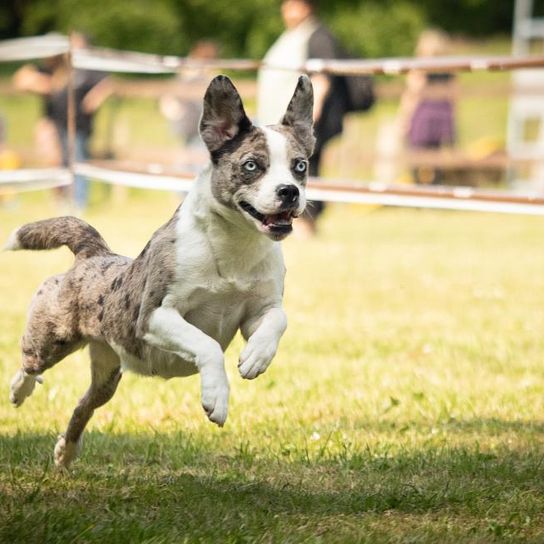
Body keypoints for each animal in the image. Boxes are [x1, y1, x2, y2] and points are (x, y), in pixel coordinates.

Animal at [6, 74, 314, 470]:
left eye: (300, 166)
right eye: (251, 165)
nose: (289, 191)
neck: (234, 245)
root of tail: (93, 253)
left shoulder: (257, 310)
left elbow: (278, 319)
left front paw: (255, 358)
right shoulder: (155, 316)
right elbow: (207, 344)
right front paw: (216, 399)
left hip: (108, 374)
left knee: (83, 406)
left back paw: (66, 451)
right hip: (53, 338)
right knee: (31, 364)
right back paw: (20, 391)